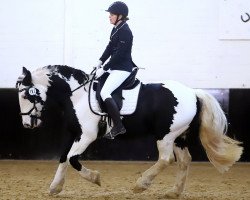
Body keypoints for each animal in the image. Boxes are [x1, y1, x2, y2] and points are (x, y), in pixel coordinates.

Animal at [16, 65, 242, 198]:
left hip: (166, 136)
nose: (27, 124)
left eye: (26, 95)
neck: (76, 95)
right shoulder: (74, 134)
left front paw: (95, 178)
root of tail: (194, 93)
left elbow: (72, 159)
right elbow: (64, 158)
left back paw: (141, 185)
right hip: (178, 136)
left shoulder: (87, 136)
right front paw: (55, 187)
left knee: (166, 159)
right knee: (184, 160)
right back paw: (174, 192)